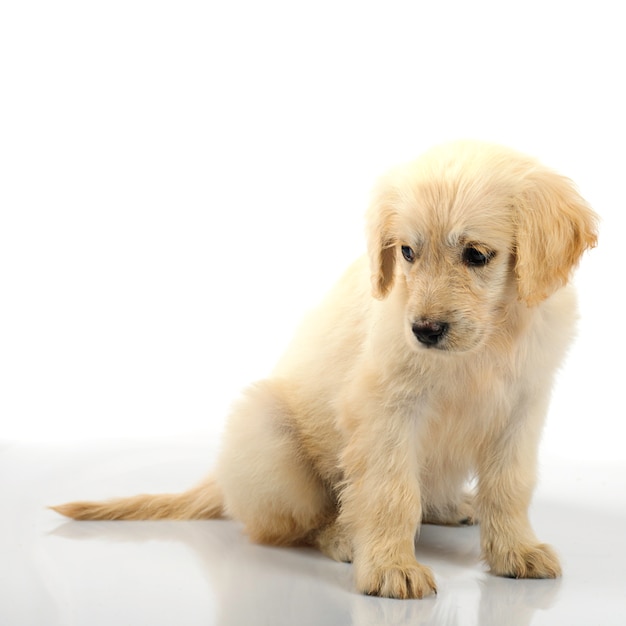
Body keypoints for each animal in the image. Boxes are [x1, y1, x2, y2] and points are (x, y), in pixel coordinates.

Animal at [52, 139, 596, 596]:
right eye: (407, 252)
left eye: (477, 255)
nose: (423, 331)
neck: (490, 339)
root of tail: (220, 483)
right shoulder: (385, 409)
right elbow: (391, 492)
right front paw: (391, 567)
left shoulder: (522, 408)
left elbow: (509, 486)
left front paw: (515, 552)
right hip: (267, 431)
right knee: (295, 524)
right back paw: (343, 538)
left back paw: (451, 506)